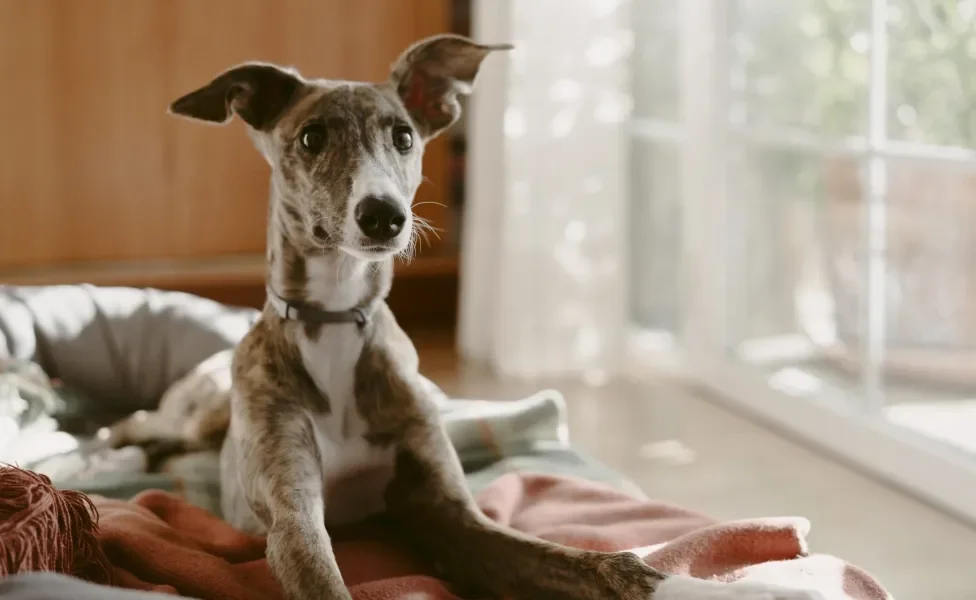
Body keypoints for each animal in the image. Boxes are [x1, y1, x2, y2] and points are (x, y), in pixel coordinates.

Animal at [135, 32, 824, 600]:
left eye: (404, 136)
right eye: (311, 137)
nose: (384, 217)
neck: (334, 323)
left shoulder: (450, 516)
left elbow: (603, 565)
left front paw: (739, 585)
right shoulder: (294, 518)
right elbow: (323, 573)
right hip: (200, 416)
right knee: (142, 427)